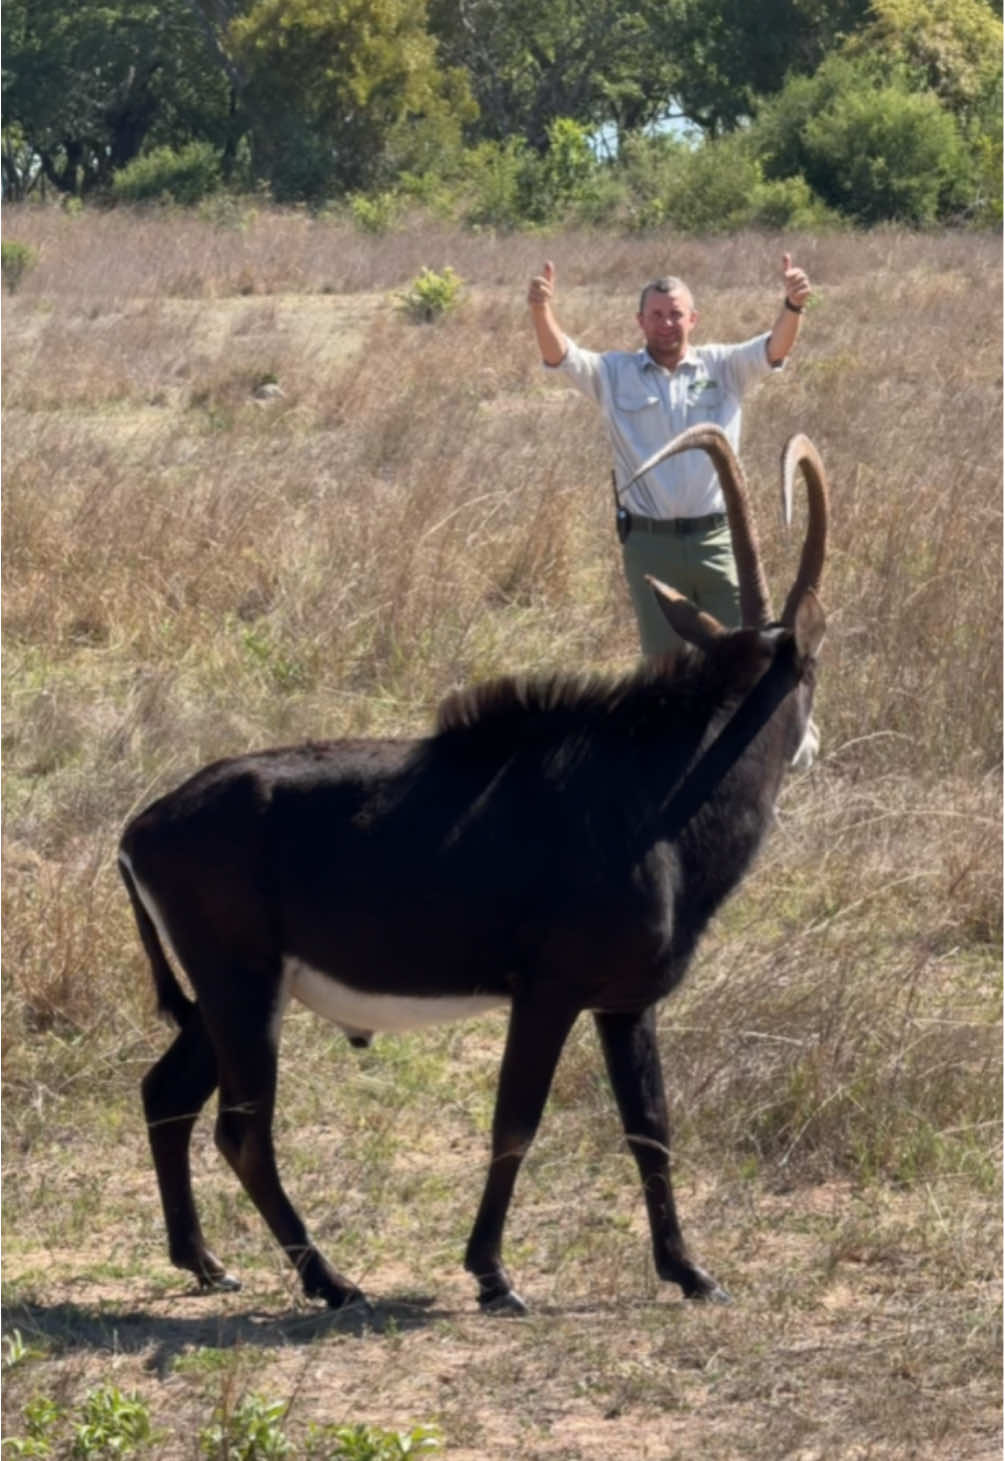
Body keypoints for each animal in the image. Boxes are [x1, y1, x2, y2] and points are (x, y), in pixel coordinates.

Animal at [119, 420, 823, 1314]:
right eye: (813, 664)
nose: (810, 745)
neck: (658, 790)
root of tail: (141, 826)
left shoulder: (624, 1005)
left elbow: (650, 1127)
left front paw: (689, 1270)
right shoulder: (549, 992)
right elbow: (515, 1121)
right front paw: (492, 1274)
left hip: (220, 1004)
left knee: (165, 1096)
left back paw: (204, 1260)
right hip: (244, 993)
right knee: (241, 1130)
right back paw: (331, 1280)